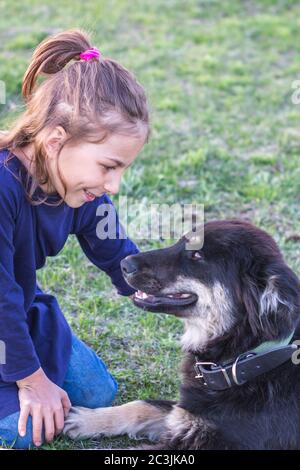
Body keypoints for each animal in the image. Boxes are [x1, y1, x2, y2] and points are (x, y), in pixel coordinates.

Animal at [63, 219, 300, 448]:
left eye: (196, 255)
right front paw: (87, 418)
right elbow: (144, 405)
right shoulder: (184, 414)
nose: (124, 264)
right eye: (179, 242)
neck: (246, 359)